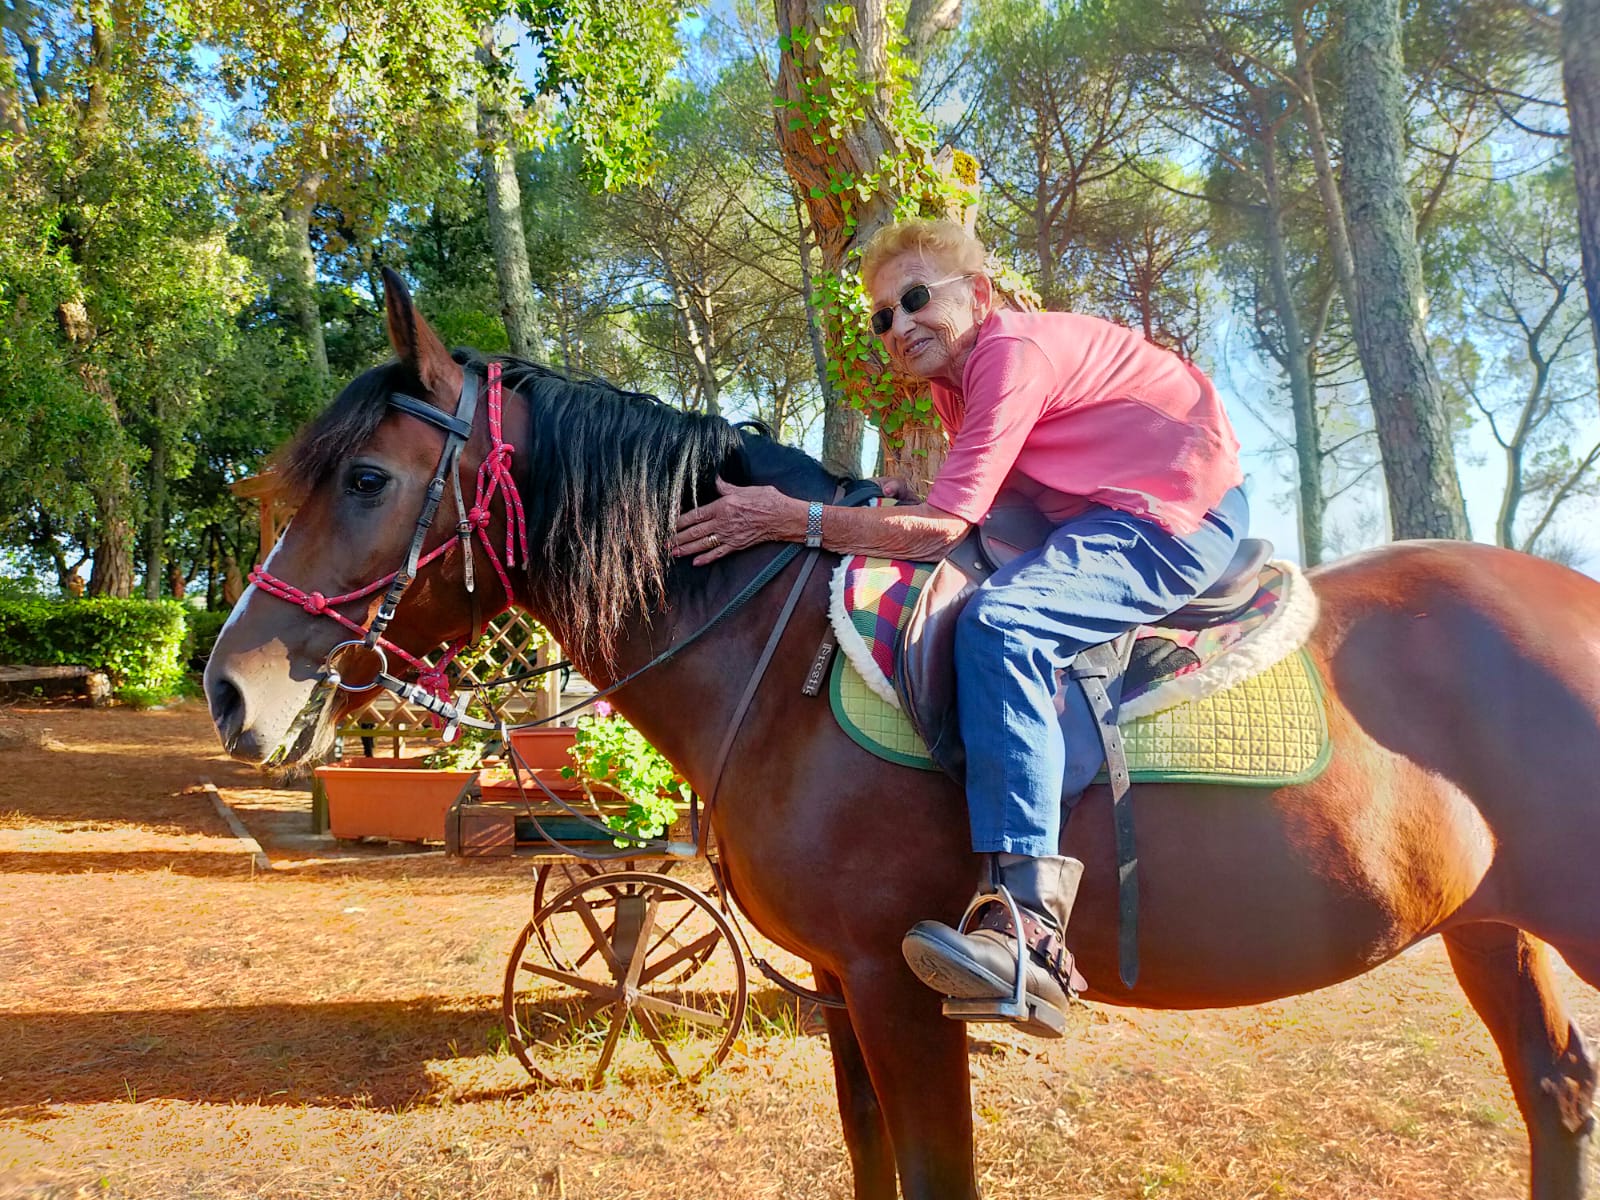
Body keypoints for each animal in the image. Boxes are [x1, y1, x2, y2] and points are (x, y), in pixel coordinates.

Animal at [205, 273, 1600, 1199]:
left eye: (366, 480)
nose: (230, 688)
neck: (776, 656)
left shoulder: (897, 988)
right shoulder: (838, 987)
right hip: (1489, 922)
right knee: (1557, 1090)